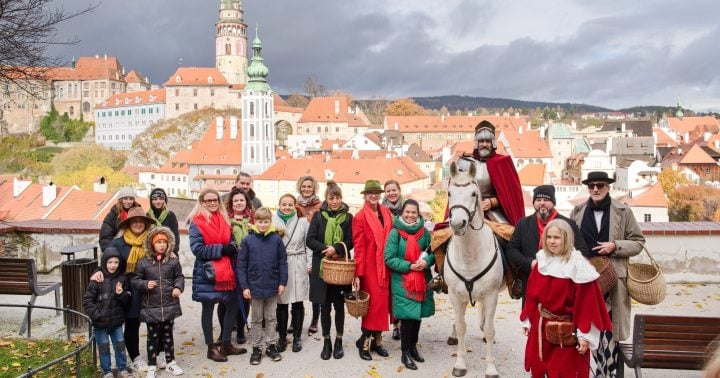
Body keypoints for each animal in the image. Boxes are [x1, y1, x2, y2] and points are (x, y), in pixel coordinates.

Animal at [444, 160, 506, 378]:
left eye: (473, 194)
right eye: (449, 193)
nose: (457, 224)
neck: (470, 254)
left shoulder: (491, 296)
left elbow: (489, 329)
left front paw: (491, 368)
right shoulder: (455, 295)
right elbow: (462, 327)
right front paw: (460, 364)